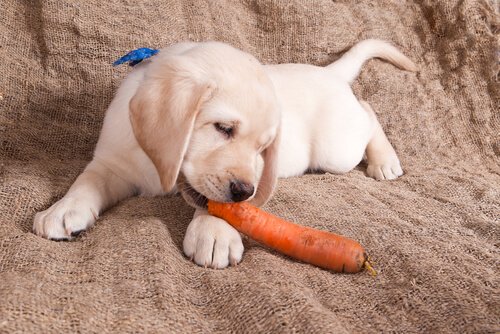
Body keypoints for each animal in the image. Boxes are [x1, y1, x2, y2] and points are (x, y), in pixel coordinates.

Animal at [33, 39, 418, 268]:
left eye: (264, 149)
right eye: (223, 128)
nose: (244, 192)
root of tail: (328, 72)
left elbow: (217, 204)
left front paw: (214, 232)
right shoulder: (112, 161)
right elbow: (87, 180)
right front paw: (63, 209)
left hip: (336, 149)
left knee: (368, 111)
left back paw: (385, 161)